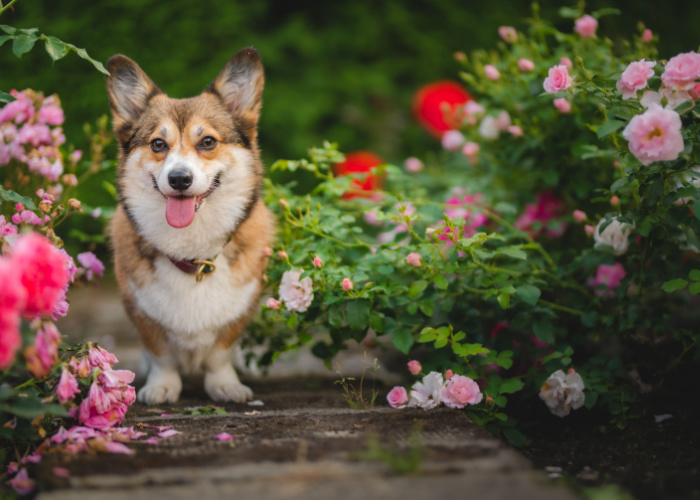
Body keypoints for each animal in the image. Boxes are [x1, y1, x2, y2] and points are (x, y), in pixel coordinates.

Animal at [105, 47, 272, 404]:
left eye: (207, 141)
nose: (179, 178)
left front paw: (225, 385)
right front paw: (161, 386)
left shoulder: (241, 310)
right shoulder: (141, 312)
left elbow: (221, 353)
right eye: (158, 144)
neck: (192, 253)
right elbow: (160, 355)